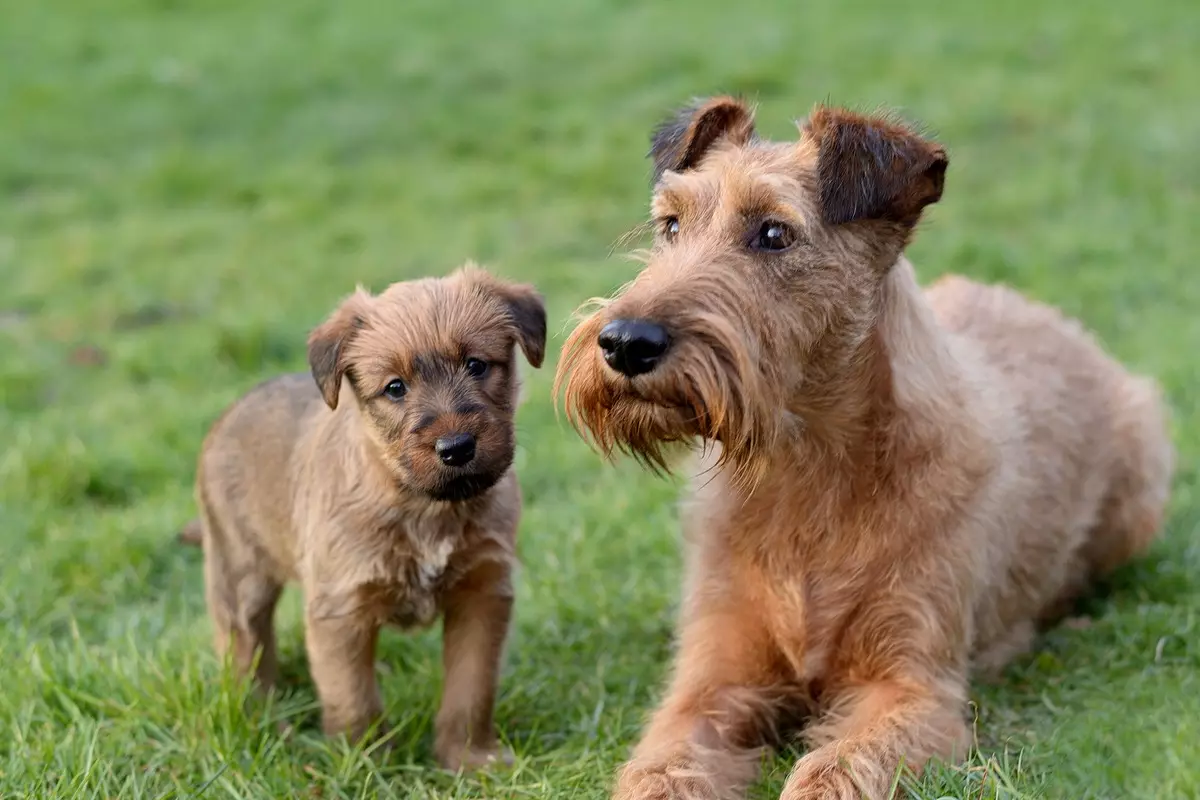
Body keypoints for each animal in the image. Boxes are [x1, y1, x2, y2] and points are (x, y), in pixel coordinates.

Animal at [184, 266, 547, 772]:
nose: (456, 447)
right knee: (244, 649)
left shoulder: (482, 594)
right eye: (395, 387)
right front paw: (364, 763)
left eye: (476, 365)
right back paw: (261, 720)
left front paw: (469, 758)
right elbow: (353, 699)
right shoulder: (342, 610)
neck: (425, 507)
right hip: (238, 576)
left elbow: (470, 689)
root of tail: (231, 411)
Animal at [556, 97, 1176, 796]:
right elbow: (663, 767)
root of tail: (1052, 317)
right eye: (670, 224)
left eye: (773, 233)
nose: (625, 342)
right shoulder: (710, 685)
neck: (806, 476)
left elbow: (833, 770)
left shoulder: (909, 688)